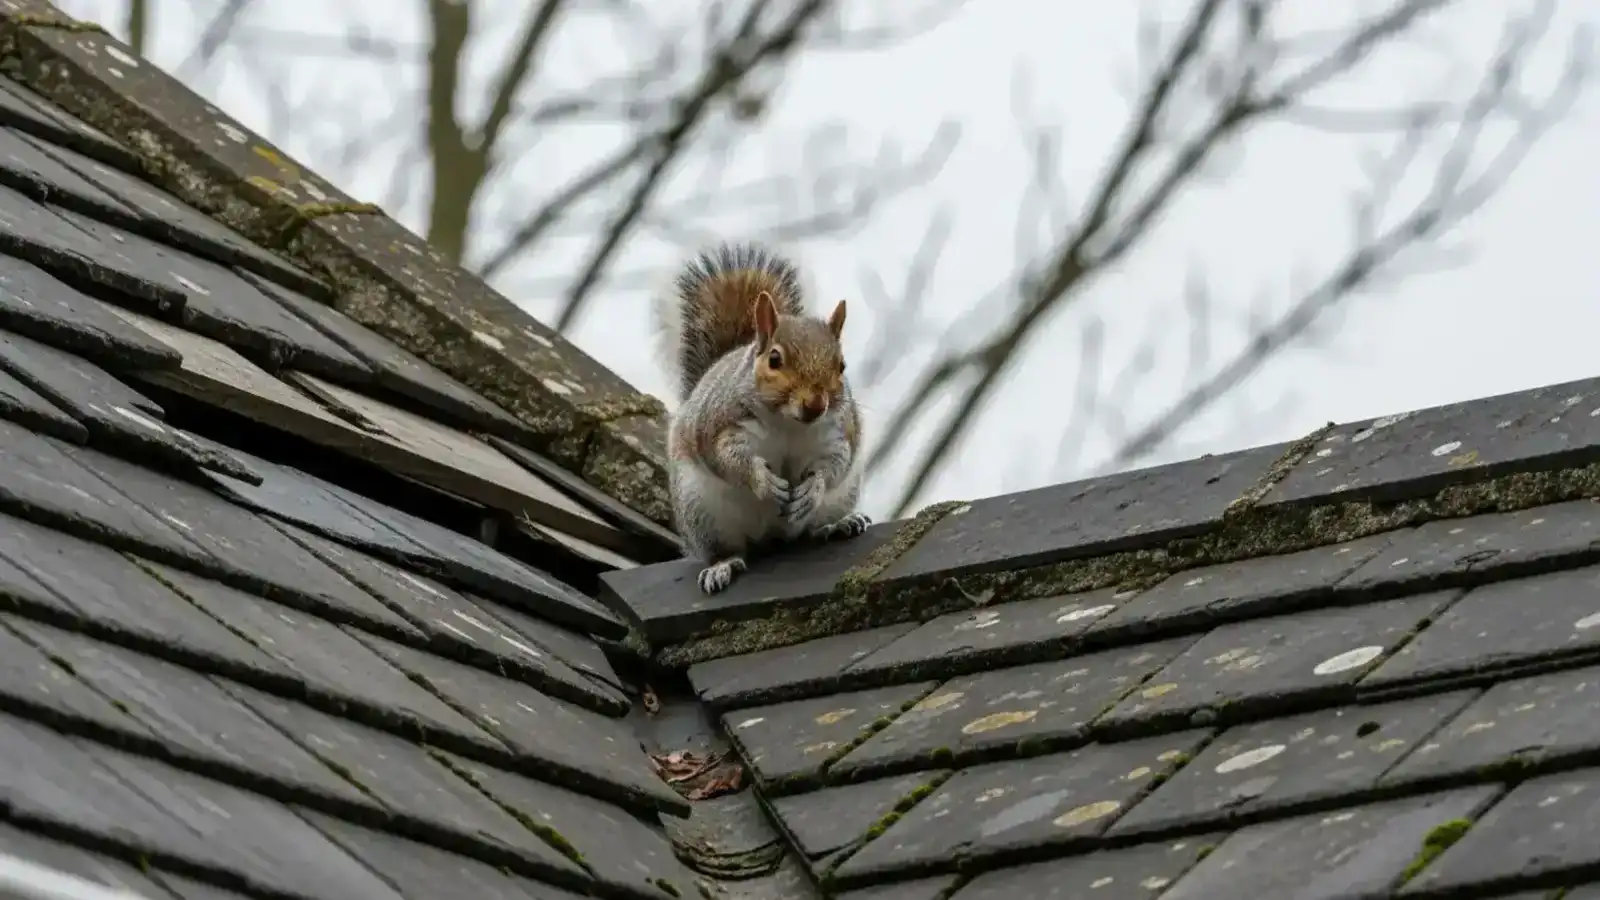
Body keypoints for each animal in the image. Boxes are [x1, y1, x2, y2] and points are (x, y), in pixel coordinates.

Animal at [658, 241, 872, 595]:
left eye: (841, 366)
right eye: (774, 359)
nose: (815, 405)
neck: (789, 424)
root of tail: (772, 538)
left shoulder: (837, 435)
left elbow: (834, 465)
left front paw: (813, 488)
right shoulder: (724, 427)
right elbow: (729, 459)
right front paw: (763, 481)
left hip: (842, 496)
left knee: (810, 531)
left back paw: (838, 525)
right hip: (703, 511)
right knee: (728, 549)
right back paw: (722, 566)